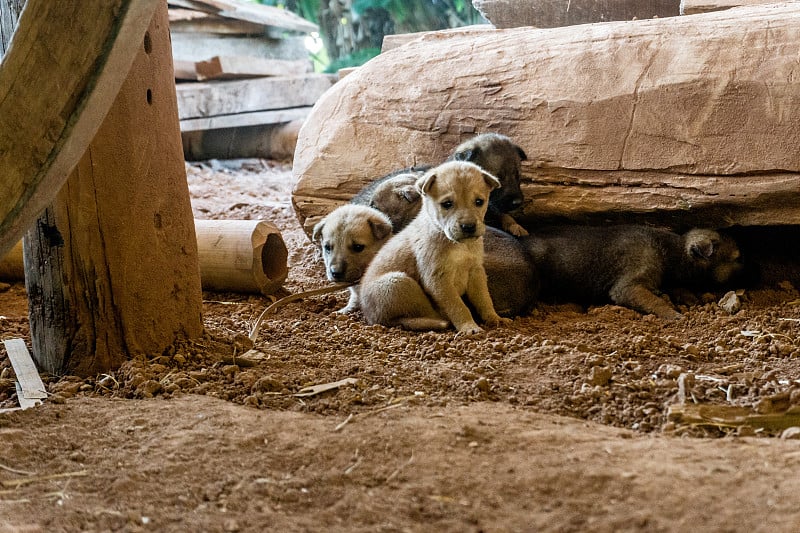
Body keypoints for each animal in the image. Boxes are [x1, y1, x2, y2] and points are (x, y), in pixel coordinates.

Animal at [360, 160, 510, 332]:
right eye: (447, 204)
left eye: (479, 202)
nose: (468, 227)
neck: (459, 245)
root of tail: (369, 317)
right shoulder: (437, 280)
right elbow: (458, 306)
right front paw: (469, 326)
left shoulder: (476, 272)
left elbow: (484, 299)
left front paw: (494, 318)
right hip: (400, 282)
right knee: (409, 316)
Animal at [524, 222, 744, 318]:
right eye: (737, 257)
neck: (670, 251)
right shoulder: (628, 288)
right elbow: (656, 302)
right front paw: (674, 313)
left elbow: (678, 289)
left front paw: (690, 299)